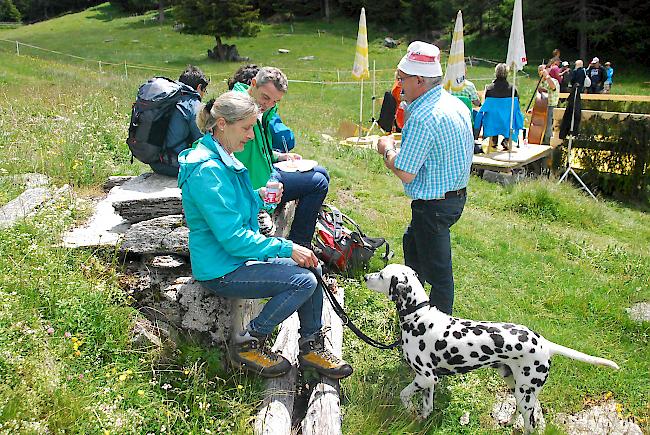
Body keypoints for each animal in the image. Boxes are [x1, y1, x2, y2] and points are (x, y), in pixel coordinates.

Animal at [364, 264, 616, 434]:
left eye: (382, 275)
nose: (366, 276)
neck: (418, 317)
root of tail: (546, 343)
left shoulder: (425, 377)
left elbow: (404, 394)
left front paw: (407, 409)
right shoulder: (429, 381)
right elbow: (427, 406)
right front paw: (419, 418)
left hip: (526, 393)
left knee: (530, 424)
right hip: (516, 386)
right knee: (518, 410)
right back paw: (507, 422)